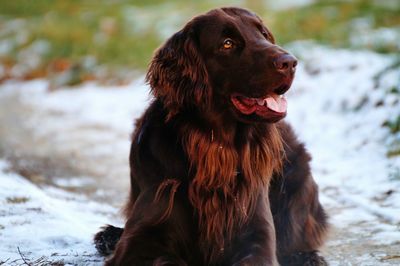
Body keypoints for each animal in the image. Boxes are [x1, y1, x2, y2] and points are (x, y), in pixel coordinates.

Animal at [94, 7, 328, 264]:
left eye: (264, 34)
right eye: (227, 43)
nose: (290, 62)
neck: (218, 146)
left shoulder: (256, 229)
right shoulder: (143, 234)